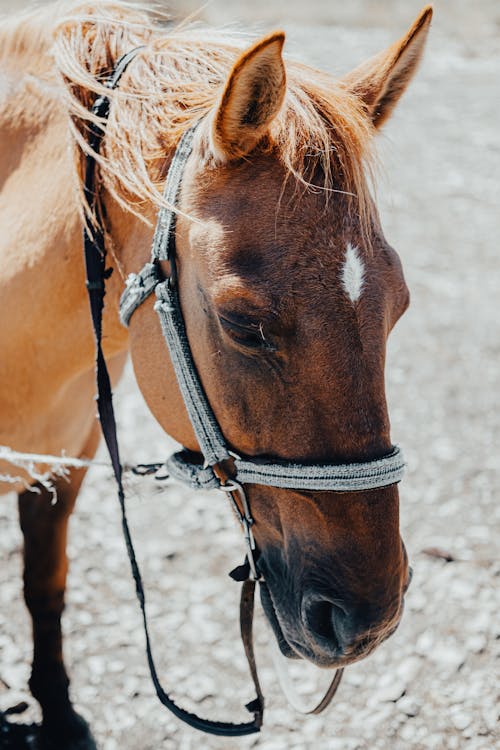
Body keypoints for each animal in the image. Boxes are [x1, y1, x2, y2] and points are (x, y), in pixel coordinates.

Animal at [0, 1, 430, 748]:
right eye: (243, 324)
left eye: (399, 305)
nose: (366, 618)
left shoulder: (63, 463)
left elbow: (43, 585)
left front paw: (56, 707)